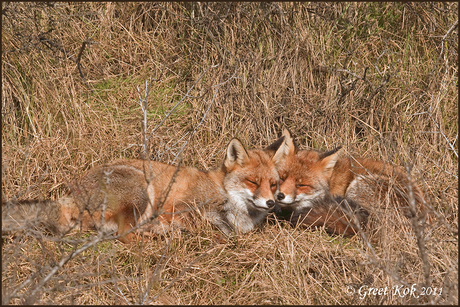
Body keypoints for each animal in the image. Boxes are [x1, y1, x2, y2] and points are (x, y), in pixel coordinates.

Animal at [2, 137, 288, 243]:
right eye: (253, 182)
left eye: (273, 184)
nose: (272, 203)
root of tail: (72, 196)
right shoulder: (182, 207)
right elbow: (208, 227)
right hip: (141, 192)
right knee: (124, 235)